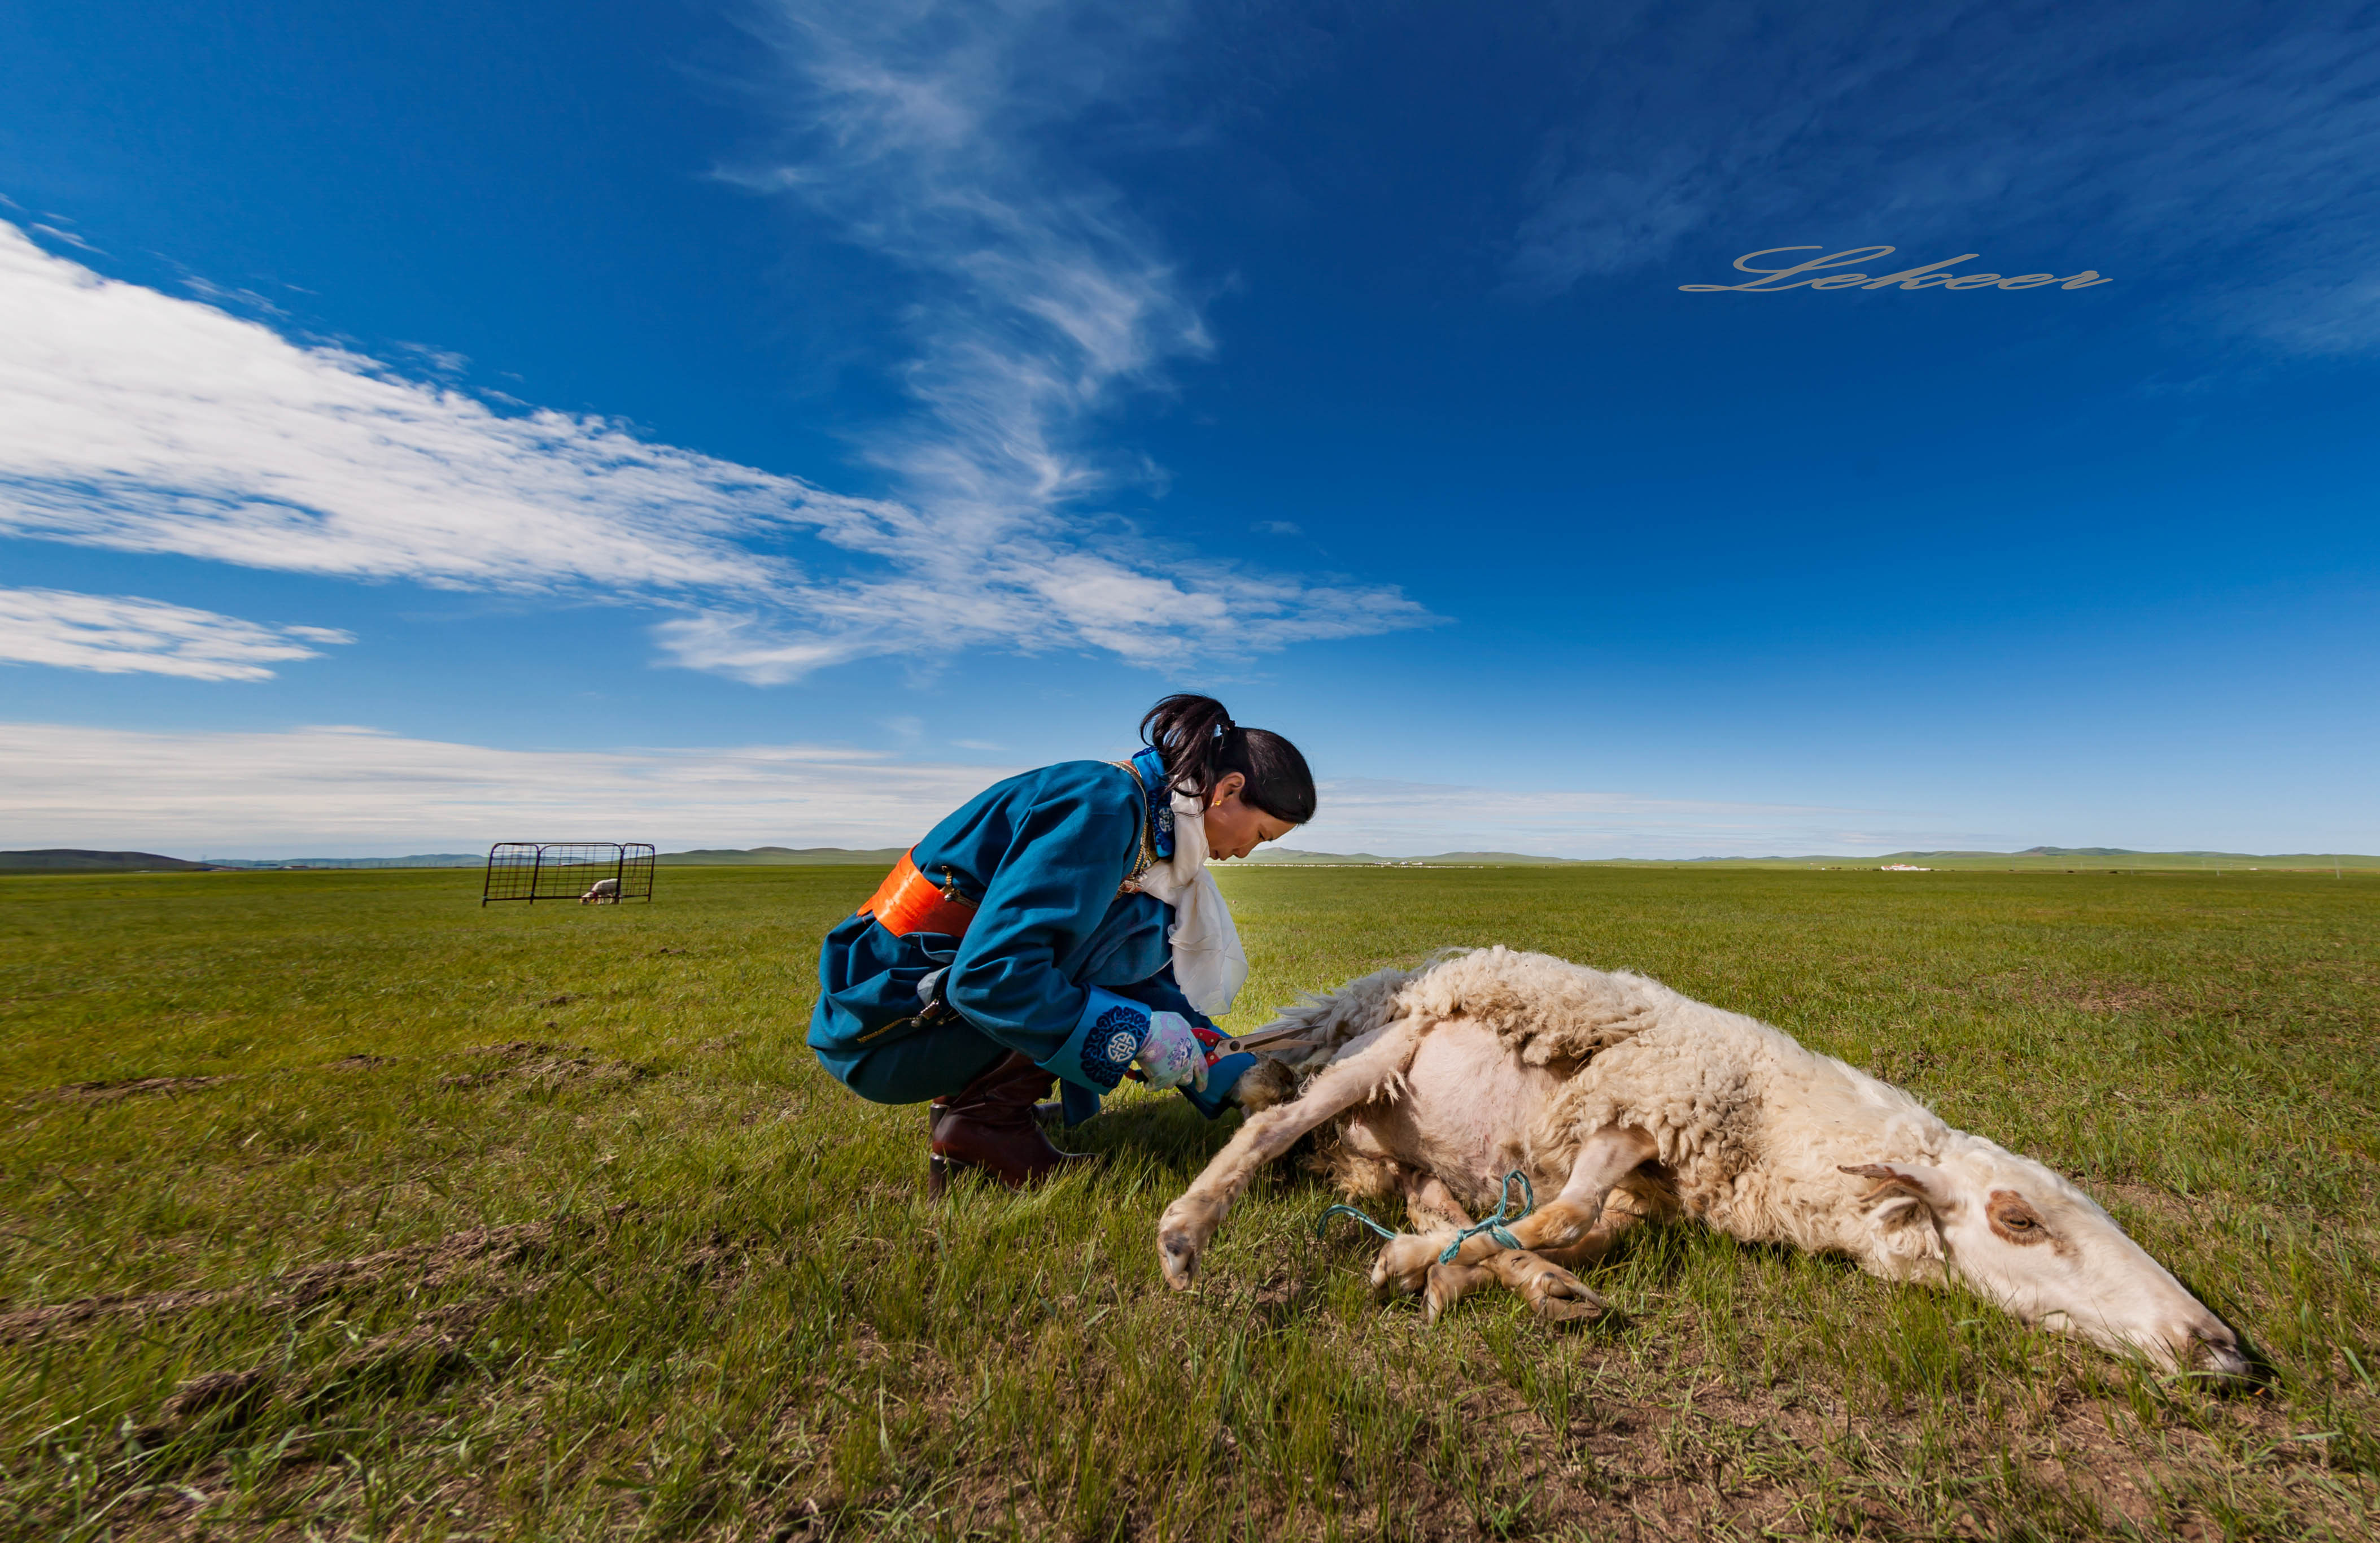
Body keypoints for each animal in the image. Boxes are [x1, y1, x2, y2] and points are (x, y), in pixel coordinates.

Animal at [1171, 947, 2246, 1381]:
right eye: (2018, 1219)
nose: (2223, 1347)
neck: (1772, 1127)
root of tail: (1337, 1003)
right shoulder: (1637, 1107)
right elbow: (1562, 1213)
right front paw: (1422, 1265)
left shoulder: (1647, 1187)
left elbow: (1568, 1228)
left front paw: (1481, 1271)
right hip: (1385, 1051)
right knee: (1272, 1125)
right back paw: (1186, 1233)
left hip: (1392, 1148)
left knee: (1419, 1187)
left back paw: (1515, 1277)